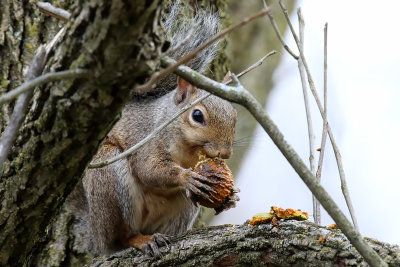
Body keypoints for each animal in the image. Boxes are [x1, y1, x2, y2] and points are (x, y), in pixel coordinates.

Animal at [68, 2, 238, 258]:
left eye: (235, 115)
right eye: (197, 116)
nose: (225, 153)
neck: (188, 150)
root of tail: (95, 237)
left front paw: (230, 198)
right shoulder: (147, 139)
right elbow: (149, 169)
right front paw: (186, 177)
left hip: (181, 213)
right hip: (109, 179)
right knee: (120, 239)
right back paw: (140, 240)